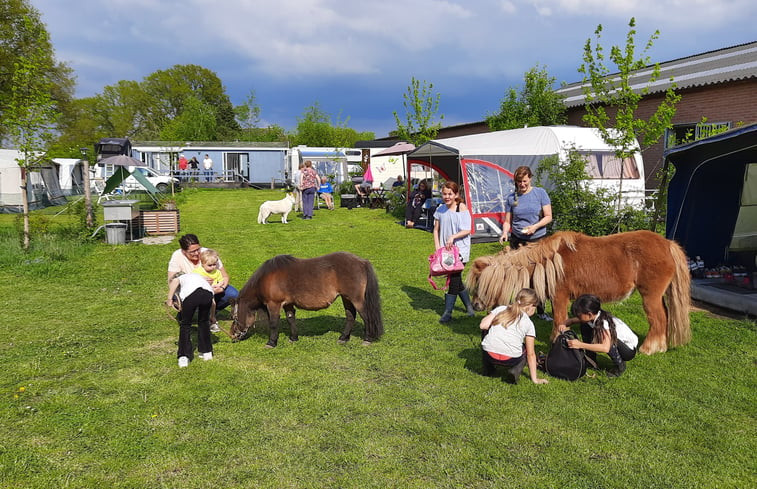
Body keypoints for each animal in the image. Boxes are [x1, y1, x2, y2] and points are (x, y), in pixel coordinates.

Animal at [229, 252, 384, 346]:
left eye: (234, 317)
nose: (232, 334)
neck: (266, 278)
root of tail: (362, 262)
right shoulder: (288, 304)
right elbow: (291, 319)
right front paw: (293, 338)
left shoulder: (274, 304)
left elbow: (273, 323)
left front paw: (271, 342)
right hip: (346, 298)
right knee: (350, 316)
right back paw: (343, 338)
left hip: (356, 299)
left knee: (367, 317)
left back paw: (368, 339)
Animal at [466, 231, 692, 352]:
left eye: (480, 283)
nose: (475, 304)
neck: (549, 261)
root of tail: (667, 243)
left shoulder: (560, 297)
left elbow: (559, 319)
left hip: (650, 296)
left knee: (658, 319)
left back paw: (649, 348)